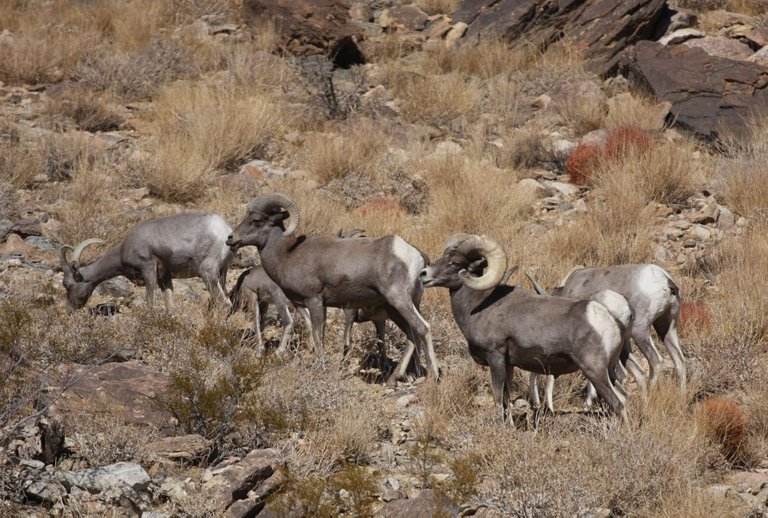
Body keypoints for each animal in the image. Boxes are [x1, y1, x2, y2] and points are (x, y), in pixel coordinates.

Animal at [59, 212, 233, 310]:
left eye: (67, 285)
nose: (69, 310)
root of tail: (225, 231)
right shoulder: (165, 278)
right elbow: (170, 306)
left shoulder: (148, 268)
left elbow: (150, 303)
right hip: (221, 275)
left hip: (207, 273)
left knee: (223, 303)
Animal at [225, 193, 439, 384]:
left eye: (257, 220)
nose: (230, 239)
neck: (287, 255)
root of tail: (416, 255)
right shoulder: (309, 305)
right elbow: (317, 333)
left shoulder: (314, 301)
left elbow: (318, 337)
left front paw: (321, 367)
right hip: (397, 308)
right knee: (412, 335)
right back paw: (394, 379)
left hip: (399, 300)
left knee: (423, 329)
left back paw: (433, 377)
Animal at [419, 233, 627, 422]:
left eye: (454, 263)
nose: (423, 274)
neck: (477, 306)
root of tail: (610, 320)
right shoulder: (509, 364)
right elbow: (506, 399)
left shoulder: (496, 358)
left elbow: (498, 398)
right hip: (609, 371)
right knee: (623, 398)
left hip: (594, 370)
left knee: (617, 403)